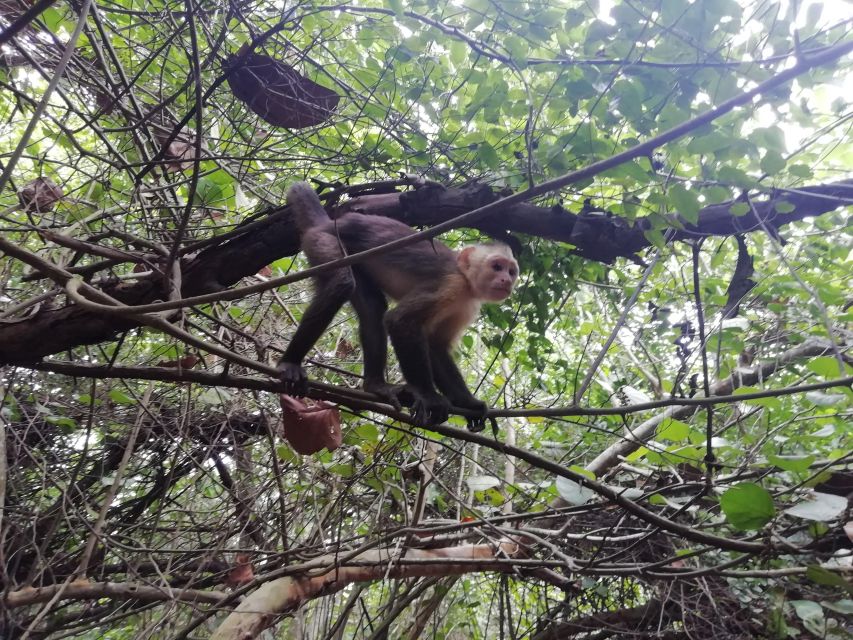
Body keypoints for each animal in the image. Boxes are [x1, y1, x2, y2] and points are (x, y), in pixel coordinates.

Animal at [278, 182, 520, 432]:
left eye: (511, 271)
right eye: (497, 267)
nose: (506, 280)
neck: (466, 282)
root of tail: (328, 223)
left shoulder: (466, 306)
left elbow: (436, 346)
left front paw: (468, 403)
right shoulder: (450, 284)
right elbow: (399, 320)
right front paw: (429, 397)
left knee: (372, 307)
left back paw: (376, 386)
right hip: (322, 240)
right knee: (341, 283)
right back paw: (290, 362)